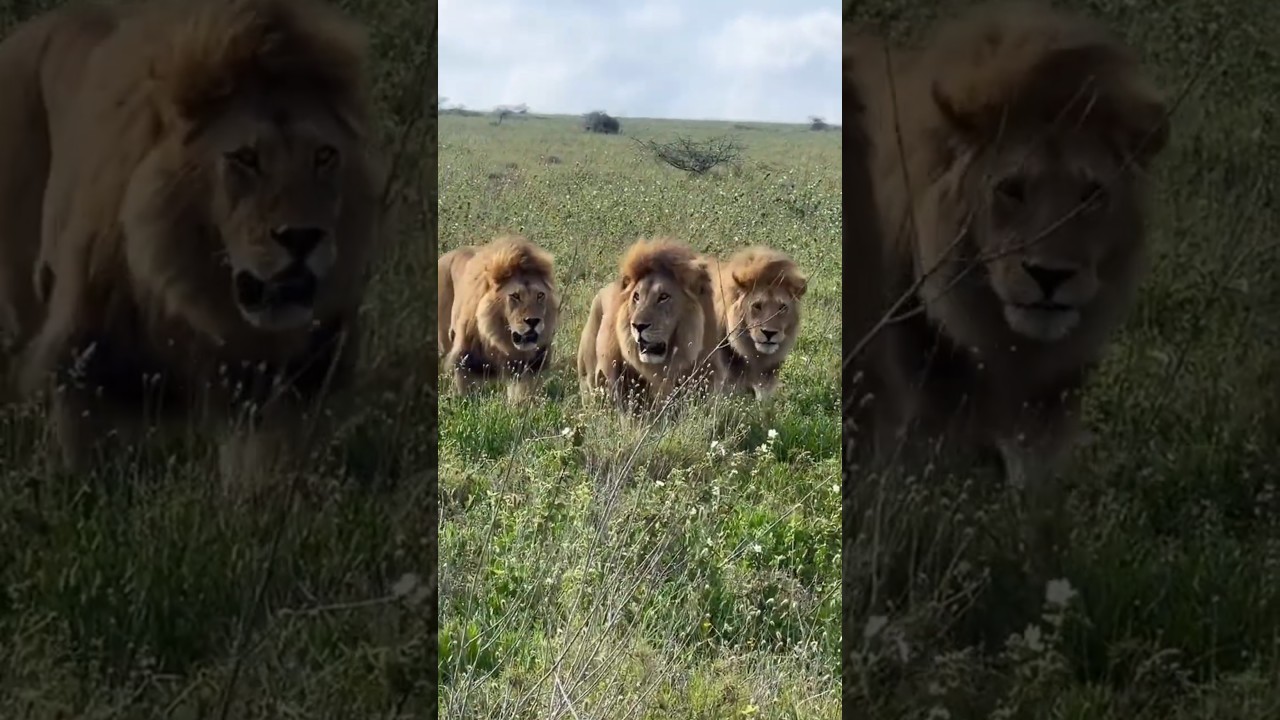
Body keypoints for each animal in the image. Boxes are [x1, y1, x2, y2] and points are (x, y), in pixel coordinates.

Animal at [0, 0, 382, 487]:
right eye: (245, 158)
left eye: (324, 155)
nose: (302, 237)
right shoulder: (84, 356)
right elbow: (81, 457)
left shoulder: (274, 384)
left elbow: (265, 467)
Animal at [438, 235, 560, 402]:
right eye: (515, 296)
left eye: (540, 295)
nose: (533, 321)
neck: (500, 340)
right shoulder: (467, 361)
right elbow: (468, 395)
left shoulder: (527, 367)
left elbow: (523, 394)